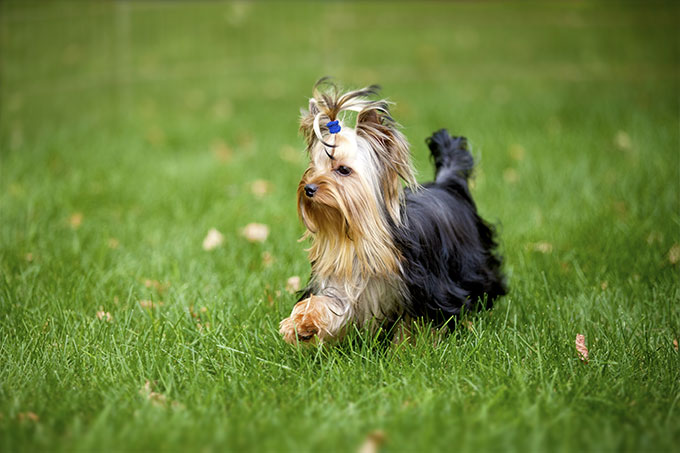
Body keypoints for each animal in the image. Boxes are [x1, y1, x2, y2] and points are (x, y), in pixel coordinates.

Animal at [278, 81, 504, 342]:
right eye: (313, 169)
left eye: (343, 170)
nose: (309, 188)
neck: (360, 236)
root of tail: (447, 183)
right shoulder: (344, 282)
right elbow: (331, 305)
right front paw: (302, 323)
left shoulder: (424, 288)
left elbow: (413, 323)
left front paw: (407, 346)